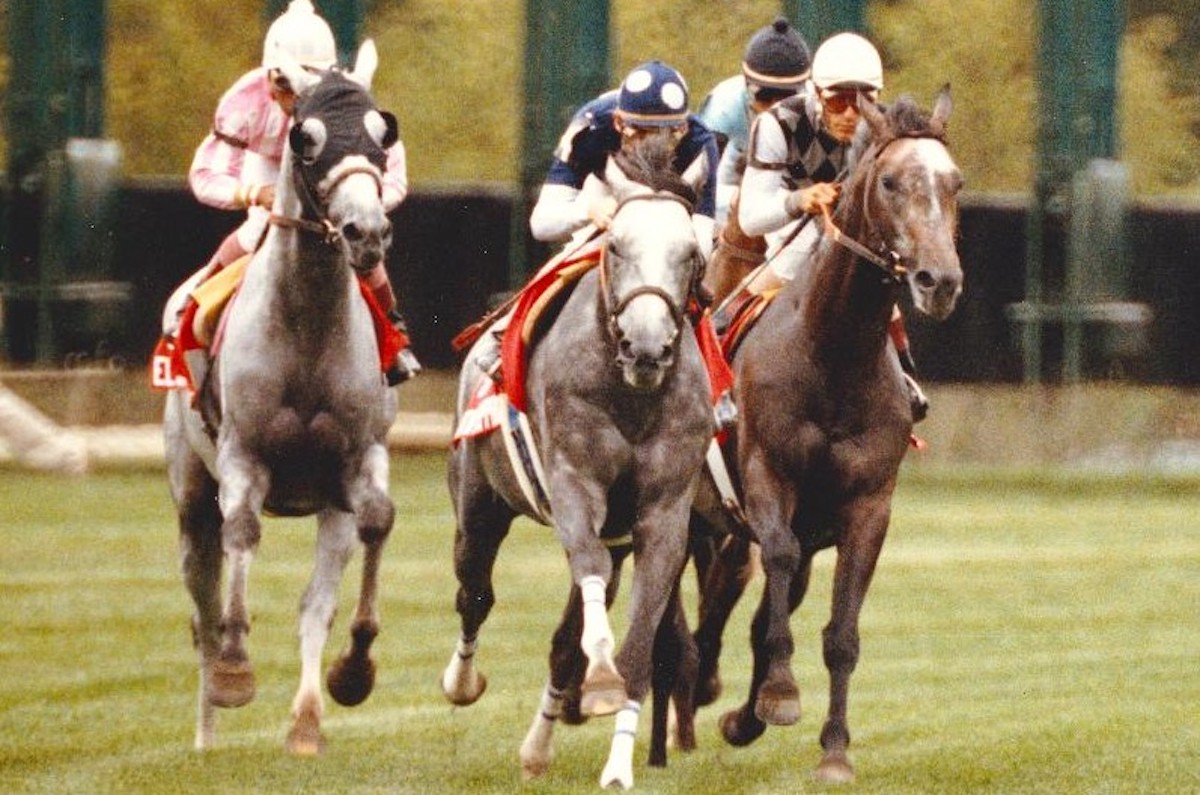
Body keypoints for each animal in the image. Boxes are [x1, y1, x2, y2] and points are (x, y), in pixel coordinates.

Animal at [163, 40, 403, 758]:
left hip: (326, 507)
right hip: (189, 494)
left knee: (312, 604)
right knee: (203, 605)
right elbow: (243, 532)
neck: (306, 324)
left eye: (383, 134)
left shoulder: (357, 459)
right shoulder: (242, 456)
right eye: (306, 139)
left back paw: (304, 722)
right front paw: (237, 673)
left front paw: (354, 670)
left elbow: (376, 520)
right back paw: (207, 727)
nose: (365, 232)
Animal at [444, 143, 710, 792]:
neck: (631, 395)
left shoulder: (663, 516)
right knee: (475, 592)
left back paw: (537, 749)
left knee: (562, 641)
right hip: (477, 504)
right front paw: (601, 677)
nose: (647, 347)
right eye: (615, 245)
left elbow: (635, 644)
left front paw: (618, 761)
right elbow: (585, 573)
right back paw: (461, 681)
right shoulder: (573, 485)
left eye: (690, 253)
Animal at [691, 88, 960, 782]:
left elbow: (839, 633)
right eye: (890, 181)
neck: (831, 352)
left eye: (955, 183)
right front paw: (783, 694)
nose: (940, 281)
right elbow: (778, 563)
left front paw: (831, 747)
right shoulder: (767, 477)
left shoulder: (867, 507)